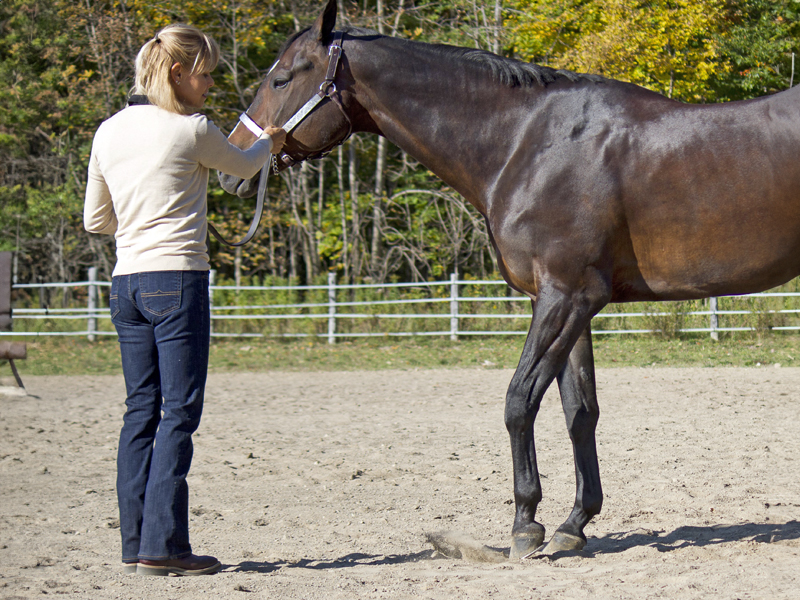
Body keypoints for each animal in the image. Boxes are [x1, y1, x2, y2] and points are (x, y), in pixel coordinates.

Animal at [219, 0, 800, 559]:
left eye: (282, 78)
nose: (231, 170)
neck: (525, 145)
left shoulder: (567, 295)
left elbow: (519, 401)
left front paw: (526, 523)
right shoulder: (571, 302)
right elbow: (579, 411)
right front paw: (574, 524)